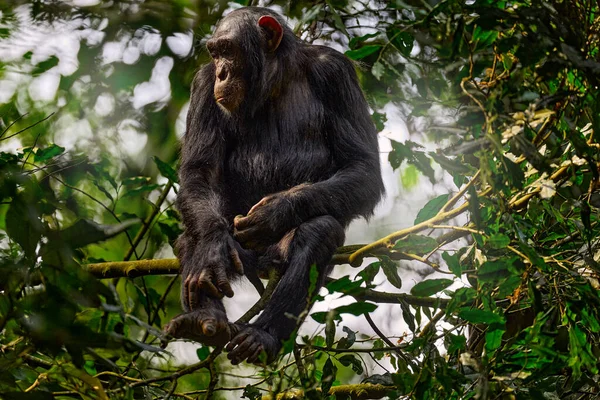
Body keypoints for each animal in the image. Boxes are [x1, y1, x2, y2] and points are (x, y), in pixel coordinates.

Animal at [164, 6, 384, 364]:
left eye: (228, 50)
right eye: (215, 53)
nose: (222, 73)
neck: (275, 81)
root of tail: (264, 269)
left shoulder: (337, 73)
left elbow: (362, 166)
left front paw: (274, 213)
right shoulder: (203, 85)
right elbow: (200, 172)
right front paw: (210, 252)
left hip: (277, 256)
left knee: (320, 233)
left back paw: (261, 337)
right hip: (241, 257)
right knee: (192, 237)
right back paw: (204, 320)